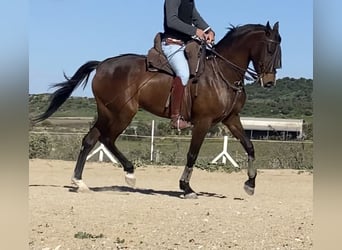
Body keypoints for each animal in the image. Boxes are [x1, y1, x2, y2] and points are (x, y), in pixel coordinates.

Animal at [33, 21, 282, 198]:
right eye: (270, 48)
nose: (270, 82)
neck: (222, 72)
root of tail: (102, 64)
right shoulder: (203, 122)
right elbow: (192, 154)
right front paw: (186, 187)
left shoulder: (231, 118)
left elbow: (250, 146)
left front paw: (250, 184)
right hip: (122, 113)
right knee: (106, 138)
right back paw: (129, 173)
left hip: (107, 113)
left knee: (91, 139)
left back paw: (80, 181)